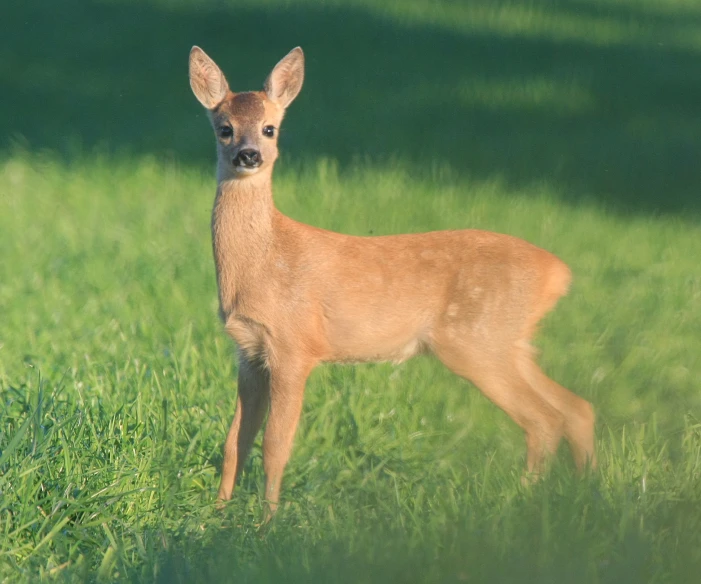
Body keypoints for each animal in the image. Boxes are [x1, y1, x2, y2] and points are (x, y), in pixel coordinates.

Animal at [187, 46, 596, 520]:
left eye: (270, 128)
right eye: (225, 129)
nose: (249, 155)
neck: (263, 261)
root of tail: (557, 273)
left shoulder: (294, 345)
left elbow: (275, 444)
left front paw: (266, 522)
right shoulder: (249, 351)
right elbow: (236, 440)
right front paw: (215, 515)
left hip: (477, 341)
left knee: (544, 419)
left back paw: (522, 502)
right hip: (510, 342)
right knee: (577, 408)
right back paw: (588, 493)